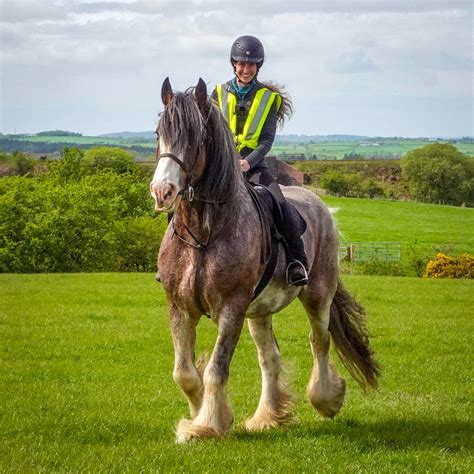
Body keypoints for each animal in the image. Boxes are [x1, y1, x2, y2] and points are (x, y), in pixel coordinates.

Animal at [150, 78, 380, 444]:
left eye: (195, 136)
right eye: (159, 132)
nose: (163, 191)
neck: (204, 231)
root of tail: (323, 207)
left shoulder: (231, 308)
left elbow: (216, 368)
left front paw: (207, 424)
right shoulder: (180, 307)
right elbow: (184, 373)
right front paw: (203, 414)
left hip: (317, 295)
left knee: (320, 342)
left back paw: (326, 399)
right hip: (259, 312)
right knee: (270, 357)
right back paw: (267, 417)